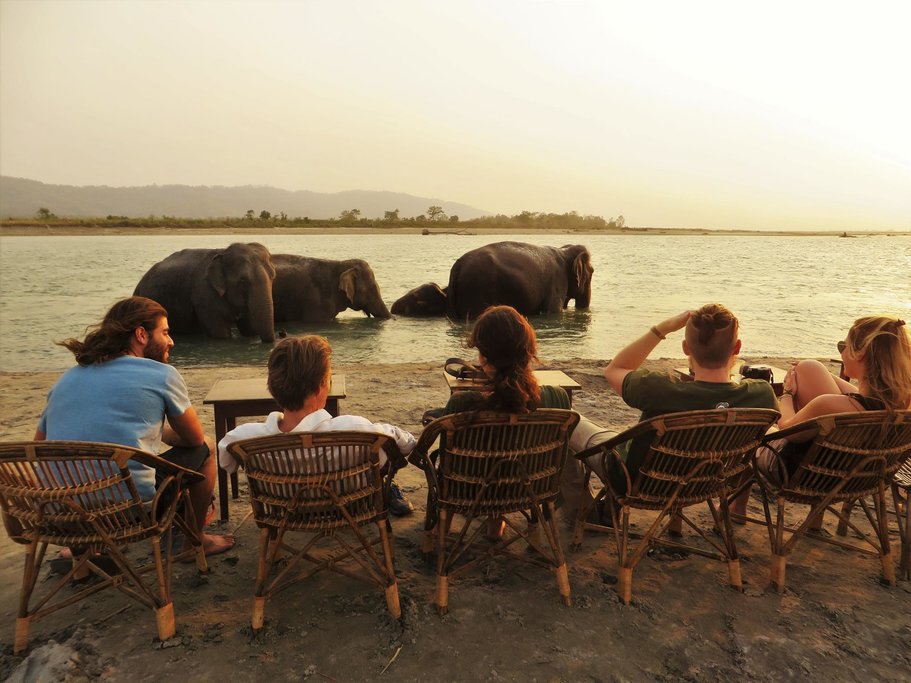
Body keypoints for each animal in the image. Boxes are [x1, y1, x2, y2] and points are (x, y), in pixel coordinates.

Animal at [133, 242, 276, 342]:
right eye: (242, 280)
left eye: (272, 276)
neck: (223, 252)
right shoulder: (204, 295)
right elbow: (221, 334)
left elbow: (250, 329)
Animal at [446, 241, 594, 319]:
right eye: (592, 272)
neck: (564, 251)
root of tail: (458, 266)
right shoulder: (557, 282)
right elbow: (553, 311)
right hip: (477, 288)